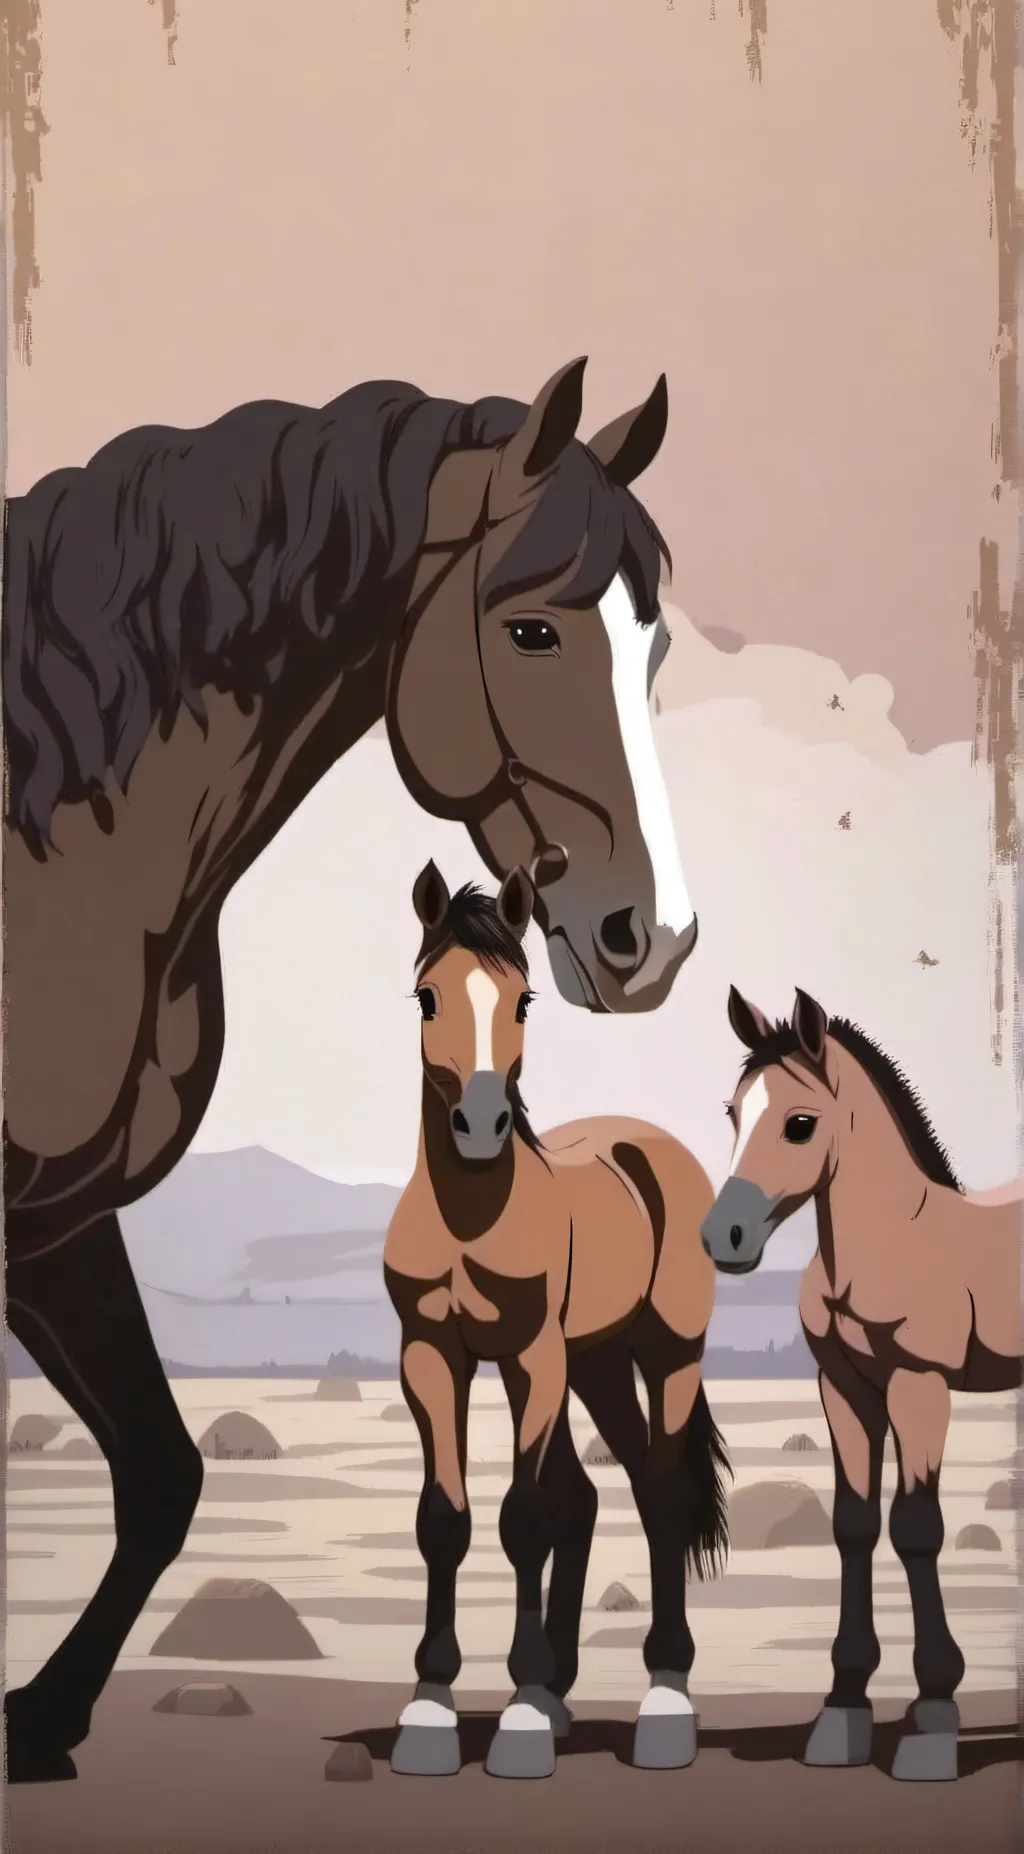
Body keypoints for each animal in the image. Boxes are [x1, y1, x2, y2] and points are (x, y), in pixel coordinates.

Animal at [382, 860, 731, 1781]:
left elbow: (524, 1517)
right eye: (426, 996)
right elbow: (445, 1519)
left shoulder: (531, 1357)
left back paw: (664, 1700)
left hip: (664, 1352)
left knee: (664, 1494)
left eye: (524, 1000)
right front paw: (432, 1708)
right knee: (606, 1491)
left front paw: (518, 1725)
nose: (480, 1125)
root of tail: (651, 1144)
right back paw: (559, 1694)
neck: (470, 1215)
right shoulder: (431, 1356)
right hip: (597, 1363)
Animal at [700, 984, 1023, 1784]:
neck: (887, 1243)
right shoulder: (845, 1390)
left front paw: (933, 1718)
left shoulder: (920, 1387)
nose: (723, 1237)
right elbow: (853, 1525)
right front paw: (842, 1710)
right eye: (733, 1111)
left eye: (800, 1123)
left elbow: (917, 1528)